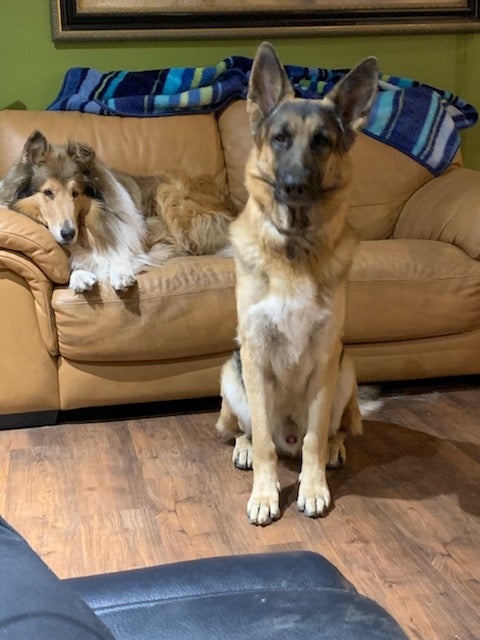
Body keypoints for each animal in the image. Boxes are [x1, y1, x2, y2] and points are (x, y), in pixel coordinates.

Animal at [215, 43, 378, 524]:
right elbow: (264, 440)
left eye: (322, 141)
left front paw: (313, 487)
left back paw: (334, 449)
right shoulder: (253, 354)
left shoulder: (326, 358)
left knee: (330, 432)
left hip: (346, 370)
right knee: (247, 432)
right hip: (231, 376)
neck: (295, 244)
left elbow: (314, 439)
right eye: (280, 139)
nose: (294, 185)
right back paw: (245, 448)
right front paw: (265, 494)